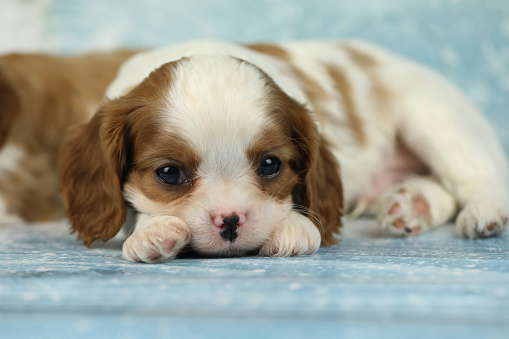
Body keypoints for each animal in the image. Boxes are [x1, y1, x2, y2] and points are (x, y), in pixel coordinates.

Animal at [59, 39, 508, 262]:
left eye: (271, 165)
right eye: (169, 173)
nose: (230, 221)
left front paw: (294, 226)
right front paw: (150, 232)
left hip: (431, 116)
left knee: (477, 177)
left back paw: (483, 210)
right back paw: (412, 204)